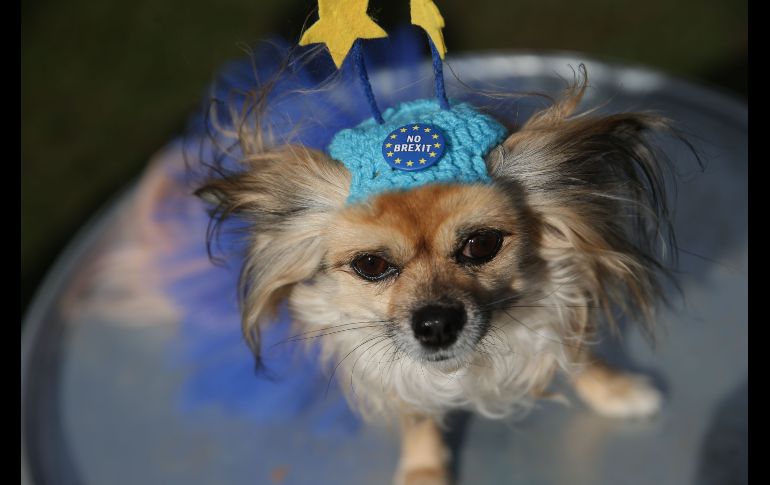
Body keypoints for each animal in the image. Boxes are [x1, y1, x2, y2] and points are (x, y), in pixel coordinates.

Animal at [196, 63, 680, 480]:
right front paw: (423, 471)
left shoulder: (565, 293)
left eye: (481, 245)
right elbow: (417, 417)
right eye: (371, 265)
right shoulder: (394, 371)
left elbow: (578, 353)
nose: (435, 324)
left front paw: (614, 389)